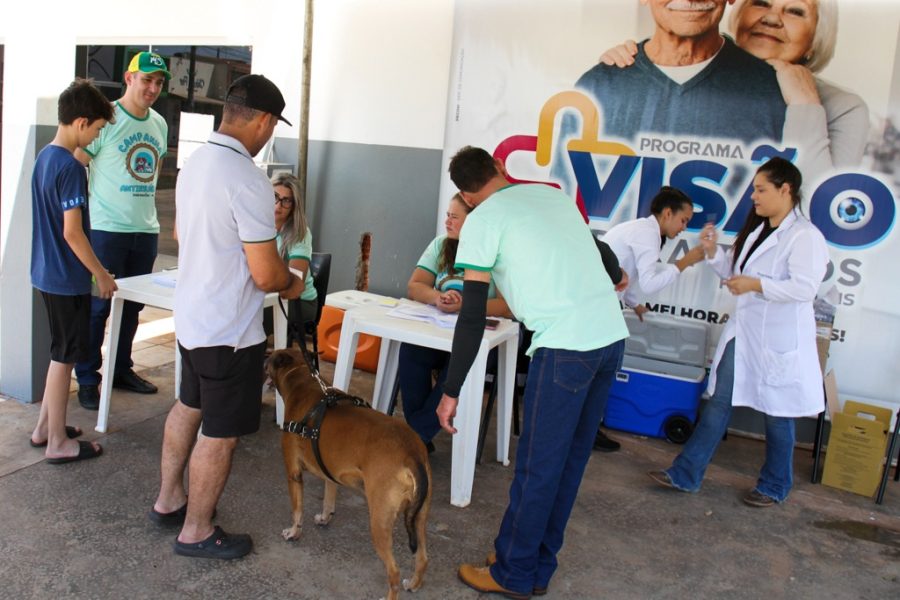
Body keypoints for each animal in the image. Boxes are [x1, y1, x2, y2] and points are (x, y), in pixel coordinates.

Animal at [266, 346, 430, 600]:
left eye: (270, 359)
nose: (264, 358)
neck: (300, 378)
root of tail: (411, 452)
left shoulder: (293, 473)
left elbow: (297, 510)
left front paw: (294, 532)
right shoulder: (329, 471)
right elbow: (329, 497)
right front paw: (325, 517)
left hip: (380, 522)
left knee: (393, 571)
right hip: (419, 517)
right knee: (422, 558)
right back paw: (413, 583)